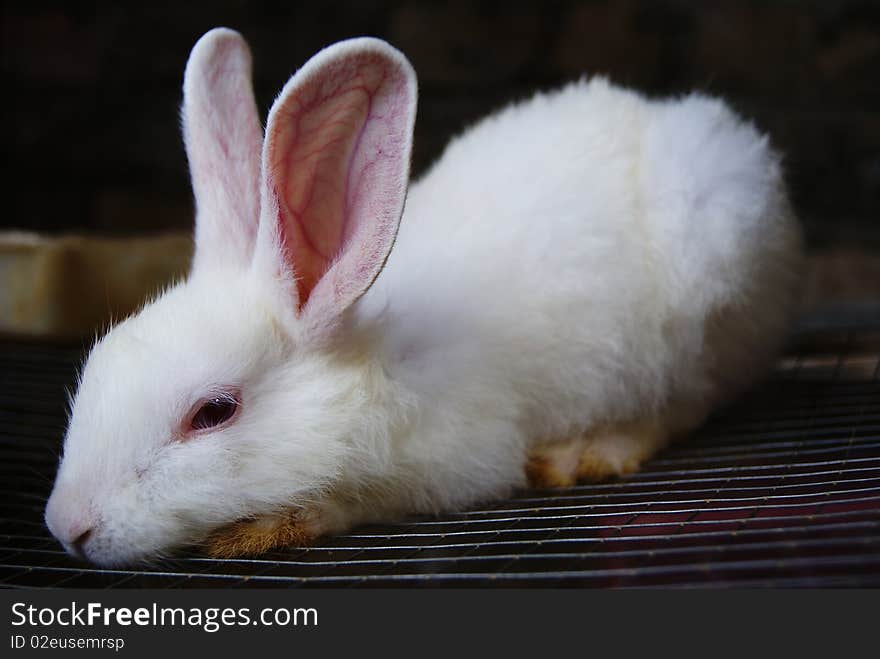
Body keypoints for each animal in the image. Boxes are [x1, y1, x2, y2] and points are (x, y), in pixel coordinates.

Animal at [44, 28, 800, 564]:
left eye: (213, 413)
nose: (66, 525)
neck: (381, 362)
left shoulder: (462, 457)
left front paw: (271, 524)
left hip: (707, 290)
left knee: (688, 402)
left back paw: (591, 450)